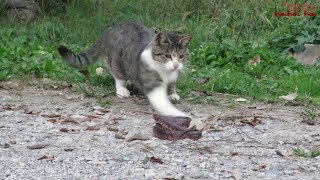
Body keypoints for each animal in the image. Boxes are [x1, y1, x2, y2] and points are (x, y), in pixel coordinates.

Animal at [57, 21, 191, 116]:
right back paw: (122, 89)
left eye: (181, 56)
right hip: (116, 60)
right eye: (167, 56)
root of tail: (109, 31)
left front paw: (172, 94)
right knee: (118, 75)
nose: (176, 65)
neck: (165, 71)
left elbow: (172, 84)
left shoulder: (173, 76)